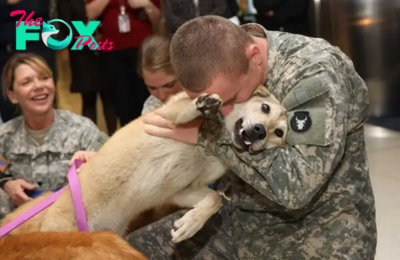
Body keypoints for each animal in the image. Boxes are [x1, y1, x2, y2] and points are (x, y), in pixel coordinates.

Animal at [0, 86, 288, 244]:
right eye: (264, 107)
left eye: (280, 133)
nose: (260, 131)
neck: (210, 146)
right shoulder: (167, 115)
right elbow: (186, 108)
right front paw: (203, 105)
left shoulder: (181, 191)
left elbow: (214, 198)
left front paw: (191, 224)